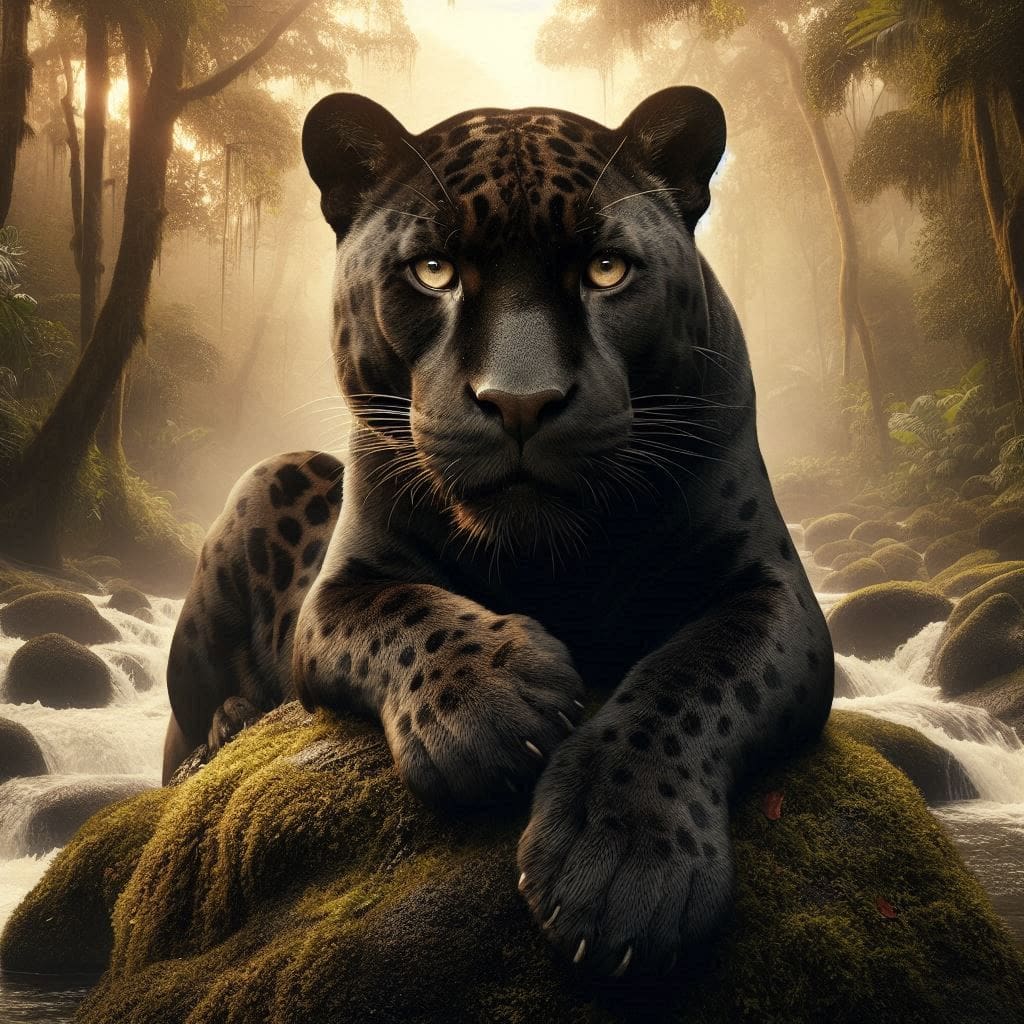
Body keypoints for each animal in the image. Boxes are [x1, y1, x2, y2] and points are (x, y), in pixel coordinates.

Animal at [162, 86, 834, 980]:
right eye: (434, 271)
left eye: (606, 270)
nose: (520, 400)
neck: (552, 555)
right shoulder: (341, 588)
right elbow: (408, 614)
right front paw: (492, 706)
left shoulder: (773, 590)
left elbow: (695, 680)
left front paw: (622, 864)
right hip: (264, 487)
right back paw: (228, 725)